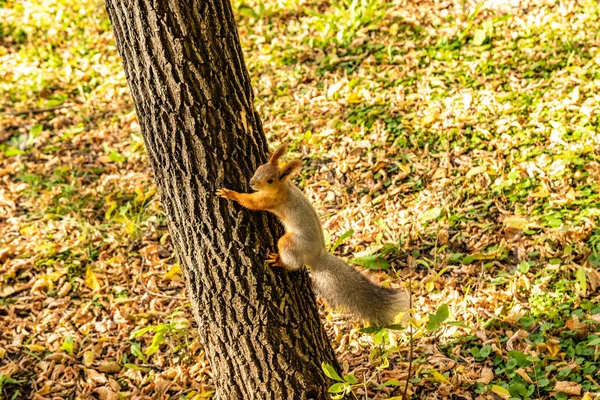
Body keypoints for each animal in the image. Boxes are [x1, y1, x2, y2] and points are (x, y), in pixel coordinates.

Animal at [216, 143, 408, 324]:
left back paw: (279, 261)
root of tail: (317, 256)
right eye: (259, 168)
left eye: (270, 180)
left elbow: (250, 203)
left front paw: (230, 194)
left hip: (292, 243)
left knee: (292, 261)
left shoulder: (269, 200)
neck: (284, 186)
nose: (252, 183)